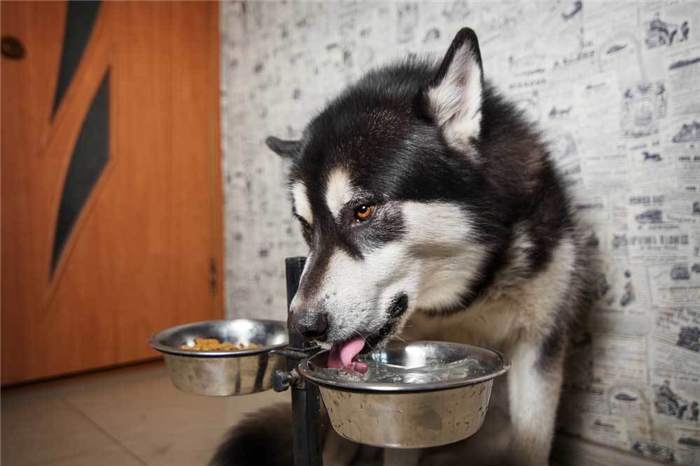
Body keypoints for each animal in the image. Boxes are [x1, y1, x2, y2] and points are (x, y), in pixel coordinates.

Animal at [212, 28, 592, 466]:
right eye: (307, 227)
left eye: (362, 210)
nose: (302, 325)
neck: (463, 303)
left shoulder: (539, 344)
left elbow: (531, 441)